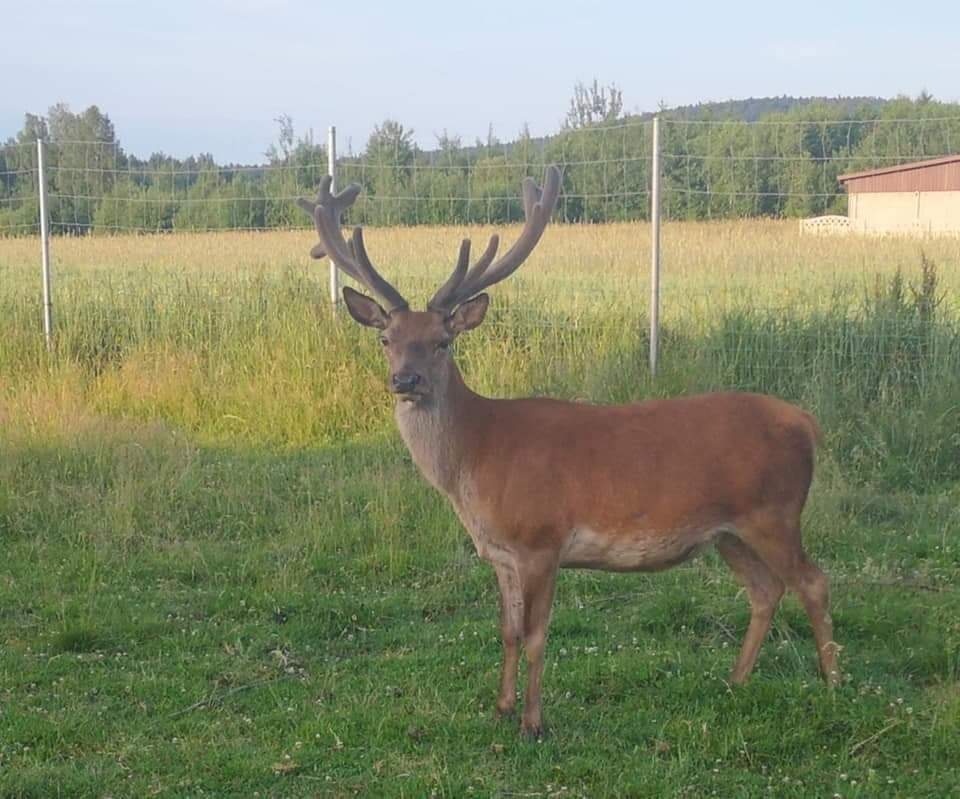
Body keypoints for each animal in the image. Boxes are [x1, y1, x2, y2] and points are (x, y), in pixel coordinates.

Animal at [298, 167, 840, 736]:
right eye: (386, 339)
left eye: (443, 341)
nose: (405, 380)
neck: (475, 455)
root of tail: (806, 423)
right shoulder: (500, 553)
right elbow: (508, 630)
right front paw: (501, 707)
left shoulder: (541, 539)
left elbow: (537, 634)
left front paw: (533, 723)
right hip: (728, 531)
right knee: (765, 590)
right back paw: (736, 681)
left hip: (774, 512)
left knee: (814, 581)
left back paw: (832, 684)